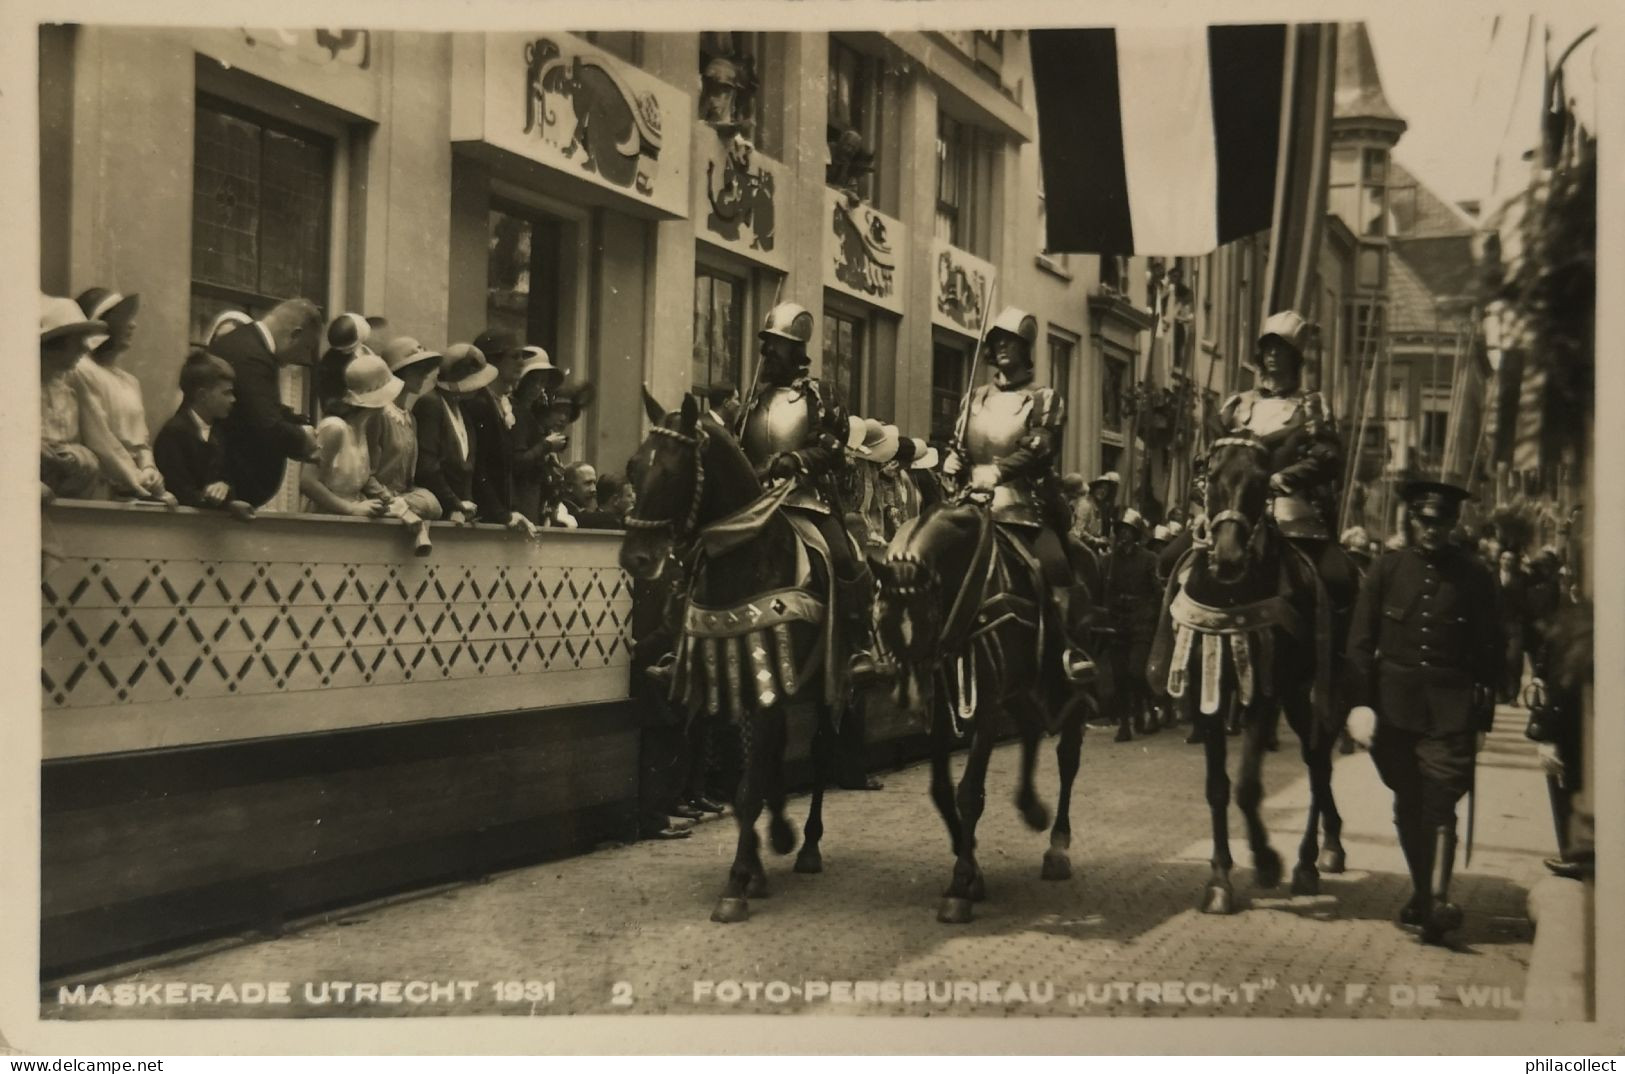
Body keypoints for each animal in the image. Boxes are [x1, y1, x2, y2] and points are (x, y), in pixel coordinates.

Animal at [617, 389, 838, 922]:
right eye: (634, 466)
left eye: (673, 471)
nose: (635, 558)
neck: (747, 556)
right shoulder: (738, 678)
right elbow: (746, 782)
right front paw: (756, 865)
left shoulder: (769, 682)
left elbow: (748, 784)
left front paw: (737, 882)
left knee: (822, 754)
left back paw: (809, 846)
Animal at [877, 493, 1092, 922]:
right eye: (883, 622)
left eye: (926, 619)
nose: (910, 699)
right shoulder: (944, 707)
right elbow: (941, 790)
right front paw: (971, 865)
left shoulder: (987, 705)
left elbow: (969, 791)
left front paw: (961, 882)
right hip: (1021, 688)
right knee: (1030, 729)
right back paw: (1030, 807)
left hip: (1065, 687)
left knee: (1067, 756)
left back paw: (1057, 845)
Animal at [1150, 435, 1352, 916]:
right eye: (1209, 475)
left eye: (1262, 483)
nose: (1227, 558)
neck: (1229, 594)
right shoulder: (1207, 694)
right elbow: (1218, 788)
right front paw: (1219, 881)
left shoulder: (1264, 693)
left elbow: (1246, 786)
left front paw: (1266, 861)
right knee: (1317, 766)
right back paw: (1326, 848)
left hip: (1310, 692)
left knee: (1317, 764)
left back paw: (1311, 861)